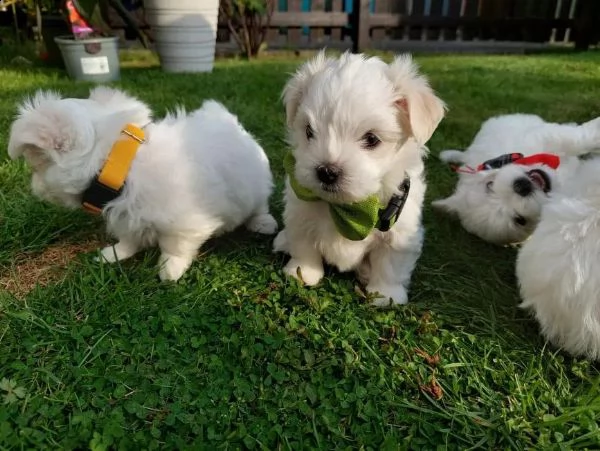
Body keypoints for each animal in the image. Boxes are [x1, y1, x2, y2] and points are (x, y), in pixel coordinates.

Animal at [8, 86, 278, 280]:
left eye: (35, 166)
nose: (33, 187)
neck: (117, 166)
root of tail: (231, 122)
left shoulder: (186, 223)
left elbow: (175, 246)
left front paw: (169, 271)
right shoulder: (126, 214)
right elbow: (128, 239)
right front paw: (114, 254)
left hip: (257, 184)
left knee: (259, 206)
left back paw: (263, 223)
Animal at [272, 52, 446, 308]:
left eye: (371, 139)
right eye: (309, 132)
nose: (327, 171)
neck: (349, 208)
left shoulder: (400, 231)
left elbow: (391, 264)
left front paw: (385, 295)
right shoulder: (300, 212)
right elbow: (304, 245)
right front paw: (303, 273)